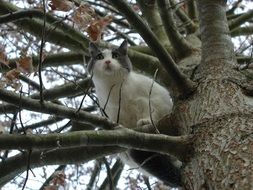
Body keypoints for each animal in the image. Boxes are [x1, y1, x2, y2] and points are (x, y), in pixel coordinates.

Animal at [87, 40, 182, 187]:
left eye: (115, 55)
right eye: (99, 57)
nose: (107, 61)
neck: (114, 89)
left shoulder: (145, 99)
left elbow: (148, 111)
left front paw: (145, 121)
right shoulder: (111, 112)